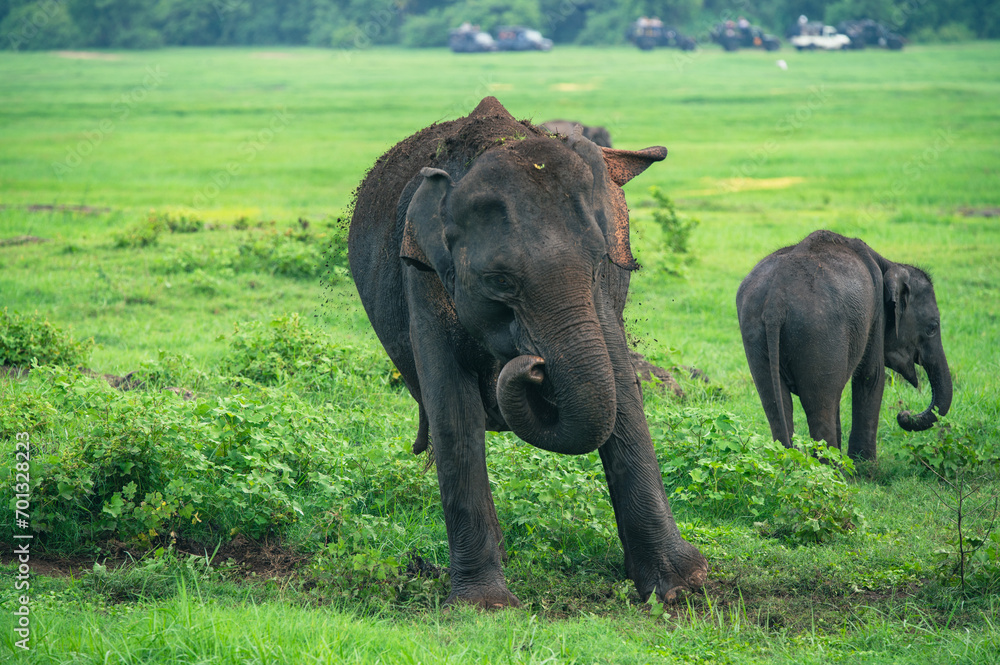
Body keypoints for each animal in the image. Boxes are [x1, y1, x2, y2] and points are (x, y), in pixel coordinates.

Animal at [348, 97, 707, 609]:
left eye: (599, 261)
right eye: (500, 281)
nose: (535, 366)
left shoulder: (599, 294)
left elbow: (621, 388)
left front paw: (682, 587)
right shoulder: (423, 278)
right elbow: (451, 407)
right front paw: (485, 607)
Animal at [736, 230, 952, 461]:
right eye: (932, 327)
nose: (904, 414)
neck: (888, 263)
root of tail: (776, 301)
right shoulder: (876, 315)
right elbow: (871, 377)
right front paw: (864, 465)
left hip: (755, 329)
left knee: (776, 402)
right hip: (819, 329)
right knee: (819, 403)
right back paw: (831, 467)